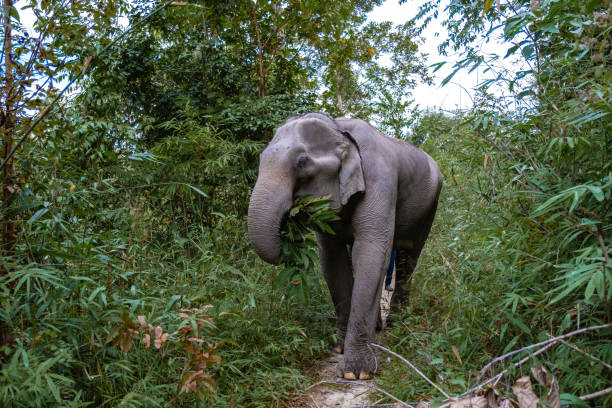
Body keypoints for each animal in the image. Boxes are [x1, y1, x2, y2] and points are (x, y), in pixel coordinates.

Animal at [246, 111, 442, 380]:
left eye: (303, 162)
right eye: (260, 158)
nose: (289, 223)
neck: (338, 128)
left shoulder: (380, 180)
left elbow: (370, 252)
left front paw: (356, 373)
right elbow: (333, 259)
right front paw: (339, 348)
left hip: (430, 207)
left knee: (408, 258)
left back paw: (396, 324)